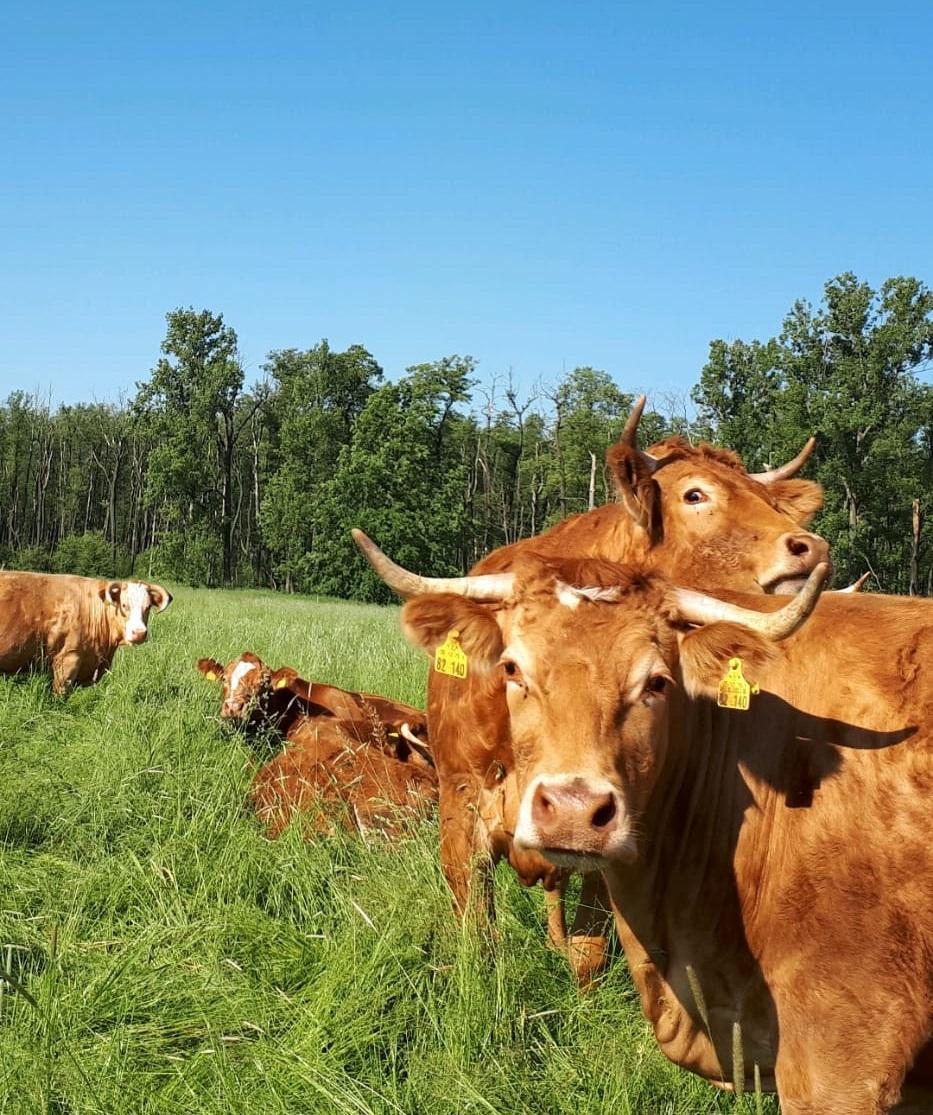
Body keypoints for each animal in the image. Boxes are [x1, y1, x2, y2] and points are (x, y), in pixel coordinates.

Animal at [352, 396, 830, 982]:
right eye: (695, 494)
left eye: (766, 499)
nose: (811, 547)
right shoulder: (460, 815)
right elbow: (478, 940)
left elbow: (590, 949)